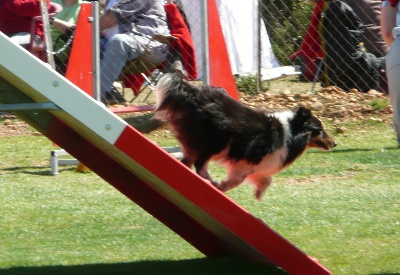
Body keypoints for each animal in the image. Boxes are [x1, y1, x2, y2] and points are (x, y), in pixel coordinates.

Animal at [155, 73, 336, 201]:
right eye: (319, 130)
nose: (334, 143)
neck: (291, 132)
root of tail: (194, 93)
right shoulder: (246, 164)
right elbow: (237, 181)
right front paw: (222, 187)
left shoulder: (260, 167)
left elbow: (267, 179)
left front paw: (258, 194)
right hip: (217, 141)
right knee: (200, 165)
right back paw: (211, 182)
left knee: (186, 163)